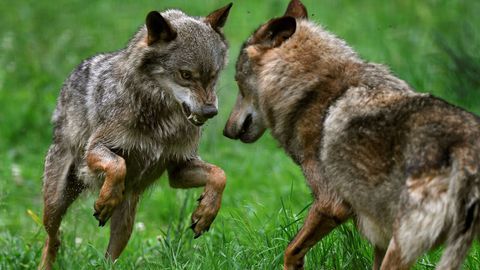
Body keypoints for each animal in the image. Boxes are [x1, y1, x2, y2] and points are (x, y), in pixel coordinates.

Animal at [39, 3, 232, 268]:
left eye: (213, 75)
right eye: (185, 75)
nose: (210, 112)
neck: (163, 123)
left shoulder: (179, 168)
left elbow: (220, 175)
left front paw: (205, 213)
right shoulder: (95, 149)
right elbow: (118, 165)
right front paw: (105, 199)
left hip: (126, 222)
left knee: (108, 257)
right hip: (55, 203)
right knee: (53, 238)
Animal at [224, 1, 480, 268]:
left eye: (238, 83)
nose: (226, 131)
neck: (311, 90)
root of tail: (464, 147)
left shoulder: (330, 204)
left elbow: (291, 250)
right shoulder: (379, 239)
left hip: (402, 245)